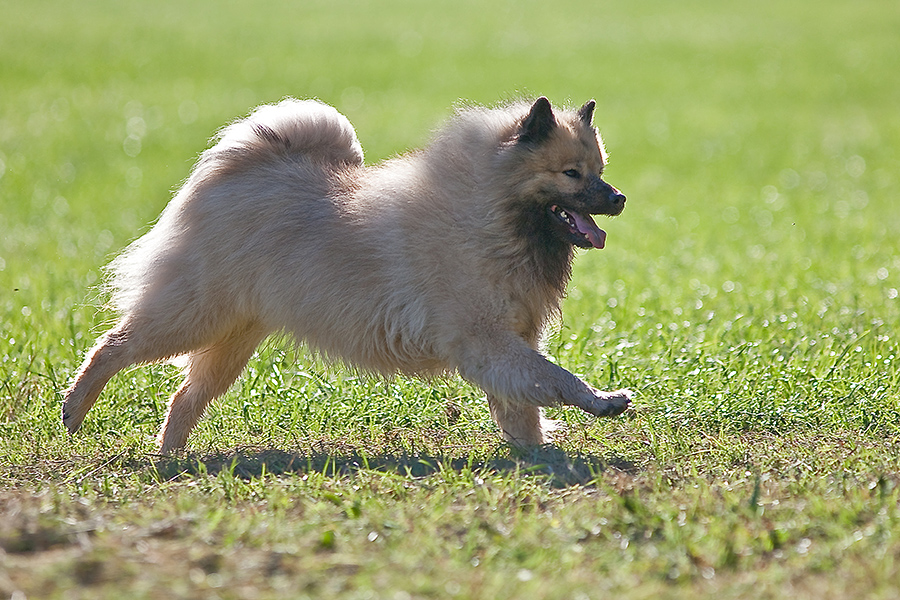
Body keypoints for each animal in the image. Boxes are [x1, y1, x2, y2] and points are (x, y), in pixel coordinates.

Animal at [61, 95, 632, 450]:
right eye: (571, 174)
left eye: (600, 171)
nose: (620, 198)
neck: (488, 213)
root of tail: (233, 172)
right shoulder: (487, 340)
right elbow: (555, 379)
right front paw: (600, 401)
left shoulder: (509, 343)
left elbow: (524, 405)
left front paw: (536, 454)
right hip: (194, 316)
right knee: (112, 347)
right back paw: (74, 409)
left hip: (233, 339)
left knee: (184, 396)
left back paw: (172, 456)